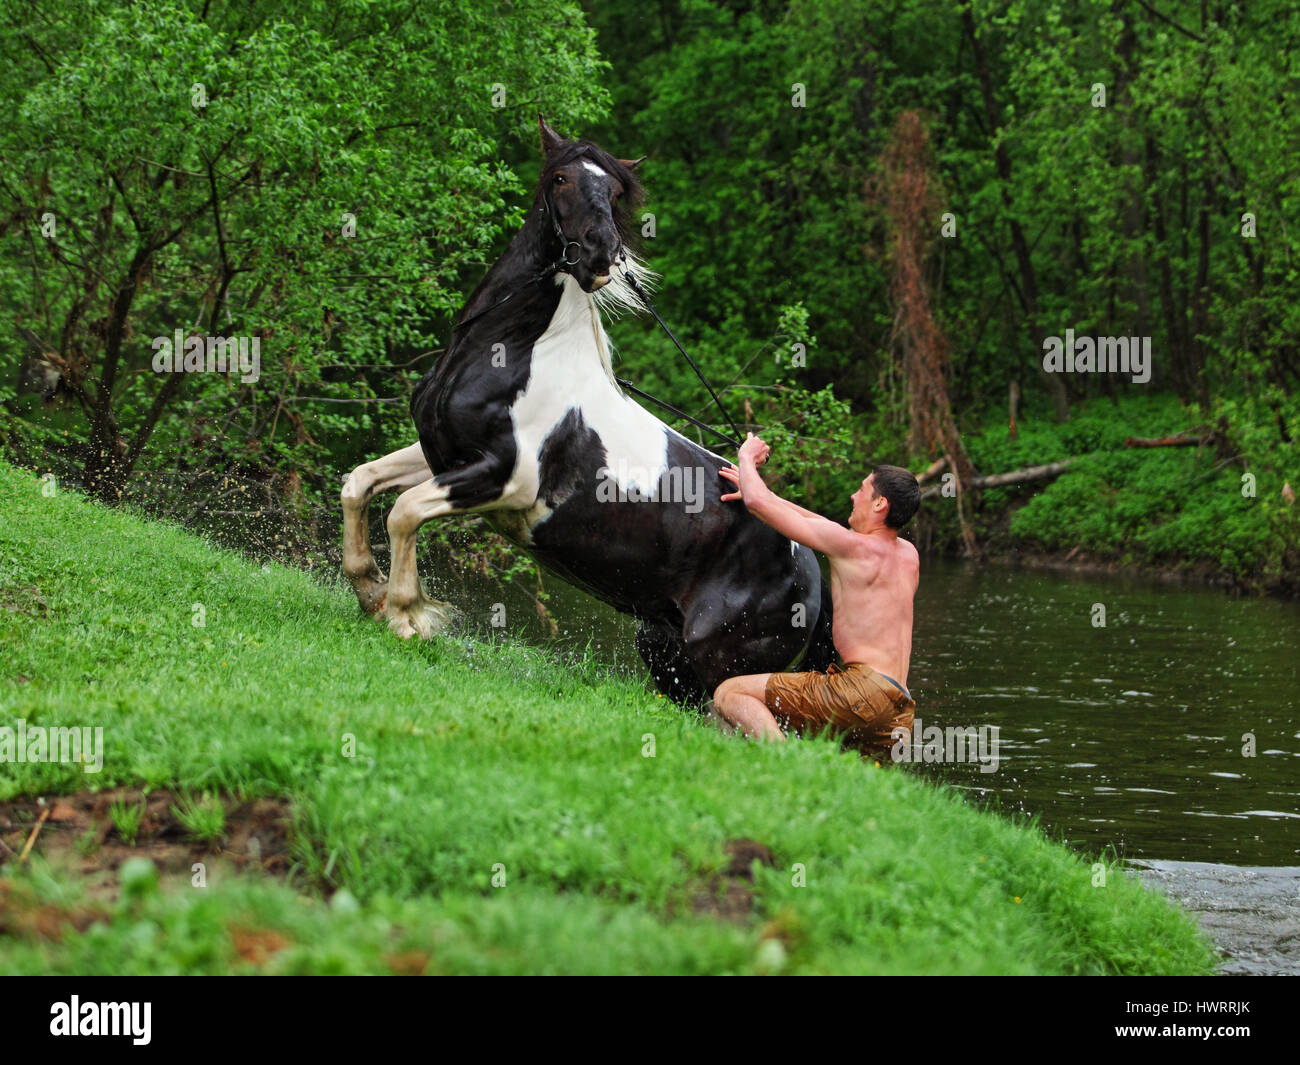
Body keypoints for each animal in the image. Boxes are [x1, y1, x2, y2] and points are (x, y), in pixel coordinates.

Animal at [340, 116, 837, 702]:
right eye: (560, 178)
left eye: (616, 192)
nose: (601, 253)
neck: (513, 353)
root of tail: (814, 571)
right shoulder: (445, 453)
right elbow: (360, 484)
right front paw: (369, 590)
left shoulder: (504, 479)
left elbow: (404, 512)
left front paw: (408, 617)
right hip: (665, 653)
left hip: (721, 669)